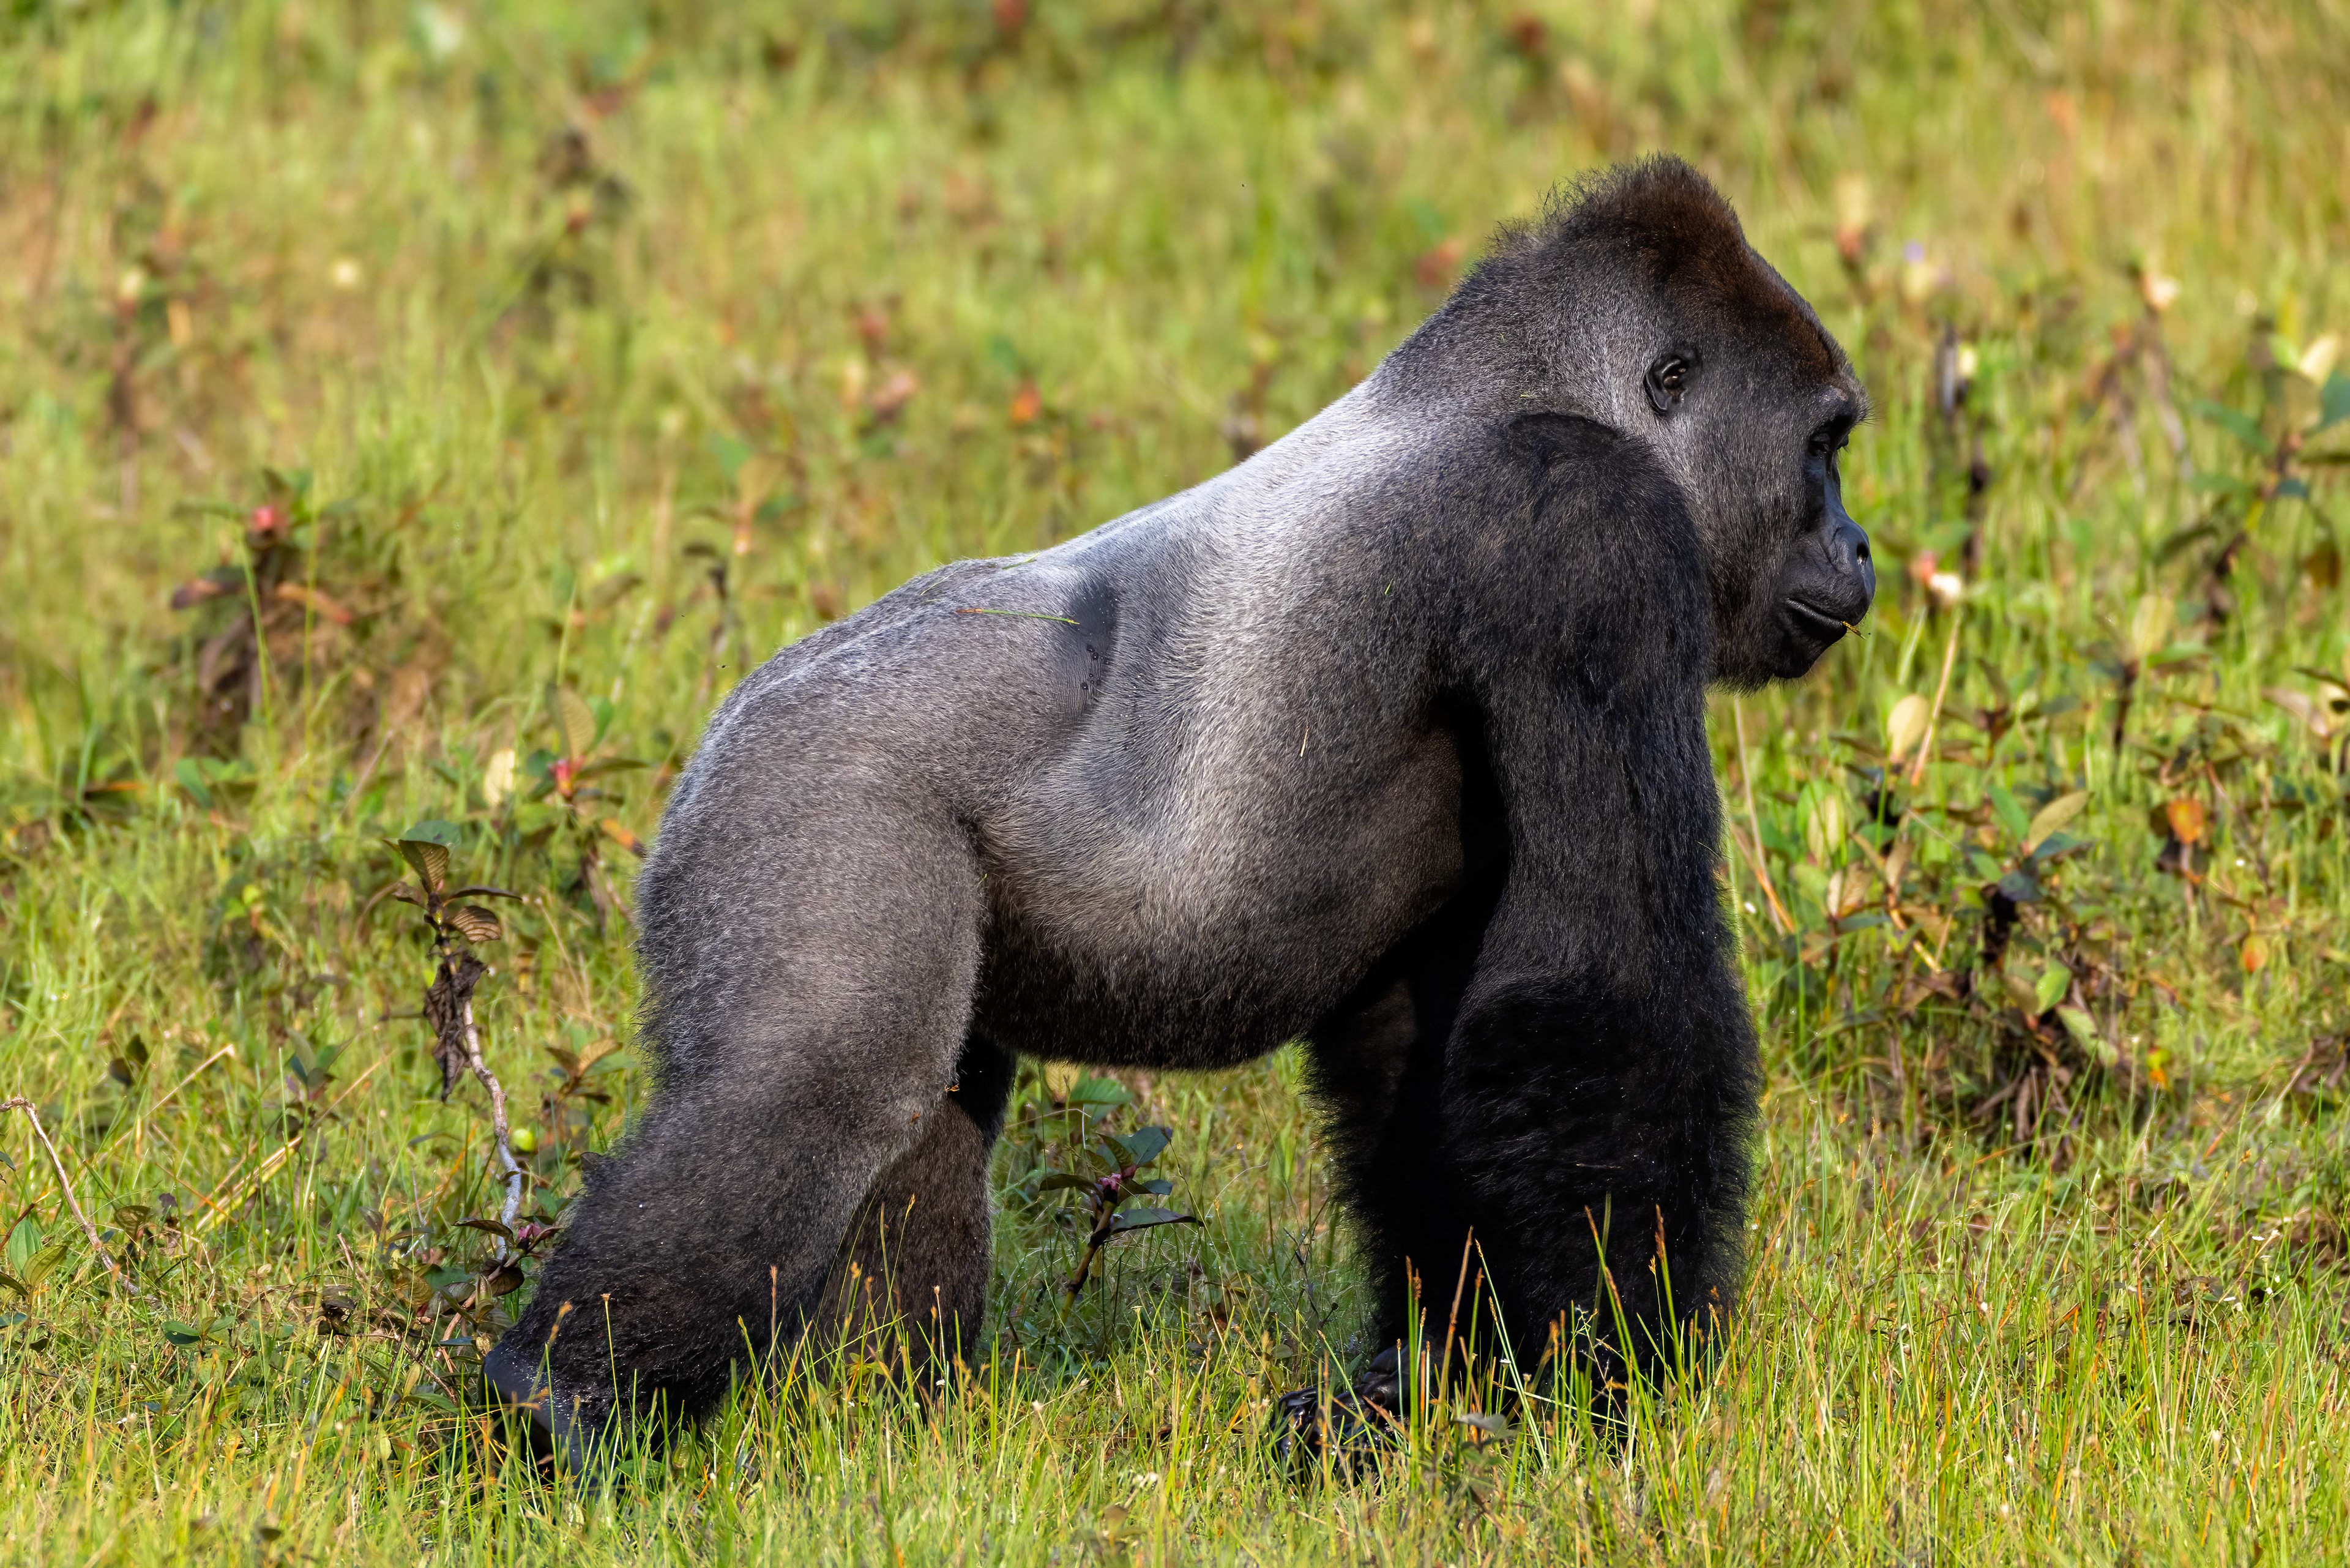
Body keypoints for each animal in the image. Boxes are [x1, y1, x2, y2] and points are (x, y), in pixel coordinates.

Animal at [484, 155, 1874, 1465]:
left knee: (917, 1112)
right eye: (1823, 448)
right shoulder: (1591, 534)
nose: (1861, 547)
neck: (1522, 389)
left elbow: (1428, 1057)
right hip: (802, 785)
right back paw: (562, 1401)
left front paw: (1441, 1378)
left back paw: (874, 1409)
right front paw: (1615, 1378)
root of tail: (730, 716)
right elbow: (1602, 985)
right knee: (820, 1083)